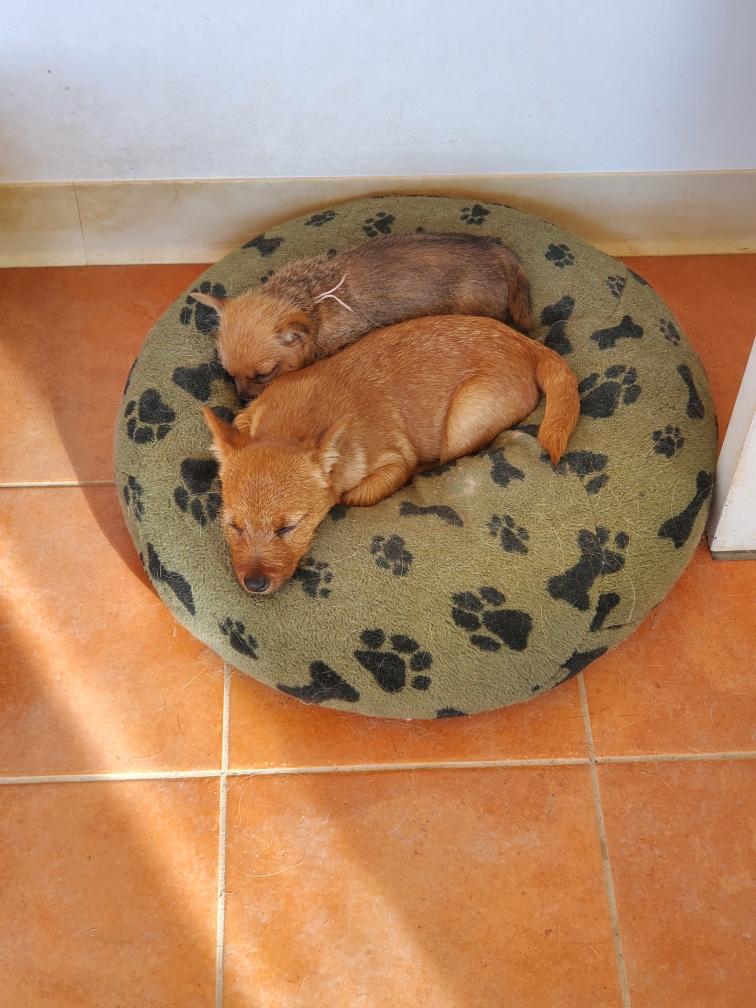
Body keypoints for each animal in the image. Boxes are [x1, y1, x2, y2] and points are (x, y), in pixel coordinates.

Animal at [203, 315, 579, 595]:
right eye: (233, 525)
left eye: (288, 528)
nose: (254, 583)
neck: (293, 426)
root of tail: (528, 345)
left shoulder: (394, 463)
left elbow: (350, 495)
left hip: (463, 422)